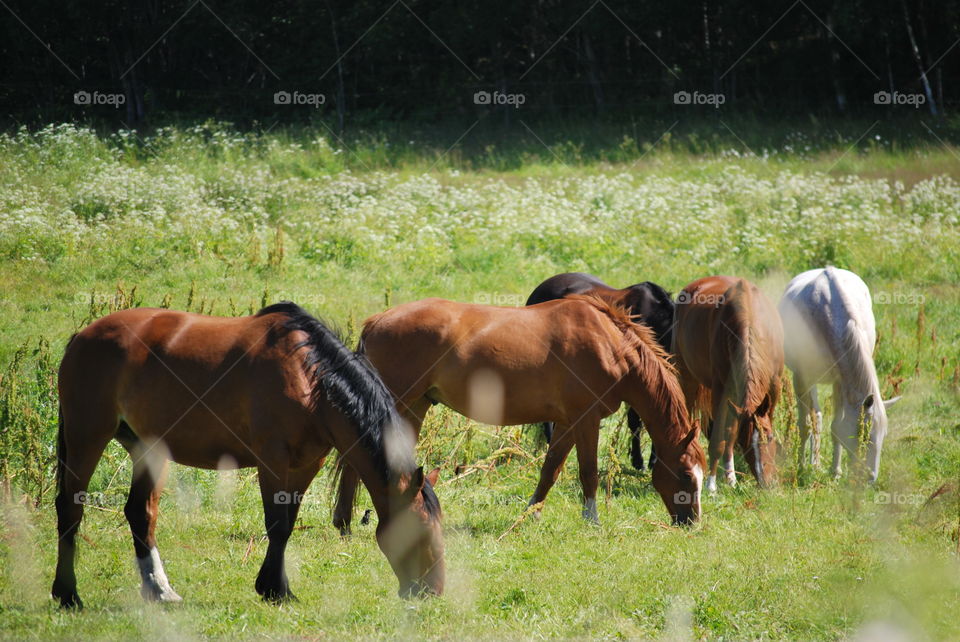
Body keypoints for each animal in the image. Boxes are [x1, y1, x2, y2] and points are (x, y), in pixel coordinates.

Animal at [52, 302, 444, 608]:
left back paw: (160, 590)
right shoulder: (272, 461)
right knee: (70, 508)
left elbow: (287, 523)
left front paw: (276, 587)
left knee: (140, 513)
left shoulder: (306, 464)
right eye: (421, 531)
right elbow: (277, 524)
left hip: (147, 447)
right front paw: (274, 590)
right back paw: (68, 594)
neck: (310, 378)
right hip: (87, 435)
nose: (433, 591)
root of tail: (82, 337)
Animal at [333, 295, 705, 531]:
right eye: (687, 476)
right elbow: (589, 473)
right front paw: (592, 521)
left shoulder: (567, 422)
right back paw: (345, 524)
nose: (692, 523)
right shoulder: (586, 420)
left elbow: (550, 470)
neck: (609, 343)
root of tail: (376, 322)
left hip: (415, 405)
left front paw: (531, 515)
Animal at [672, 276, 784, 492]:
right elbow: (722, 437)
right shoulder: (722, 390)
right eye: (746, 443)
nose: (765, 483)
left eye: (769, 438)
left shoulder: (774, 386)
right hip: (686, 378)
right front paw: (712, 484)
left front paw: (730, 478)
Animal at [778, 267, 901, 481]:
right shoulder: (801, 378)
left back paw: (816, 464)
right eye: (863, 434)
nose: (870, 477)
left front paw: (835, 472)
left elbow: (836, 427)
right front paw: (800, 467)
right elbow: (805, 425)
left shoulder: (840, 381)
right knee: (815, 417)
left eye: (883, 435)